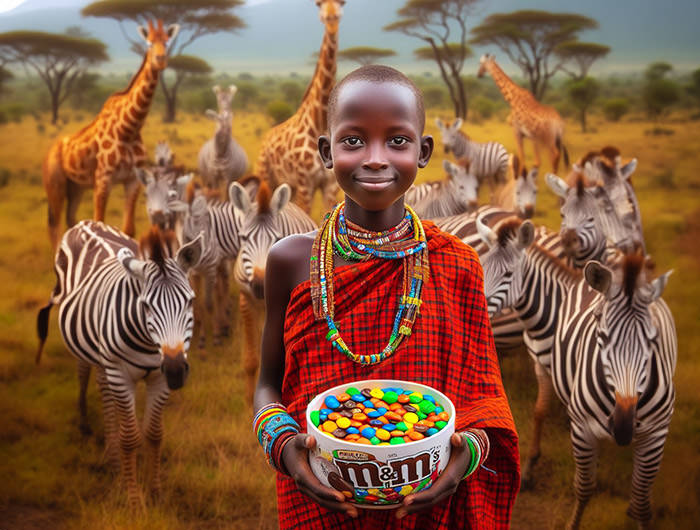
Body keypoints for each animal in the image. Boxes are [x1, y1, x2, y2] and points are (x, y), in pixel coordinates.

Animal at [36, 220, 204, 508]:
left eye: (190, 301)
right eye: (146, 306)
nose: (175, 371)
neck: (149, 344)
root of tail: (85, 223)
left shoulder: (159, 378)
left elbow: (154, 434)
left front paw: (156, 493)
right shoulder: (121, 375)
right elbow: (130, 438)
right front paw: (134, 500)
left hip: (104, 357)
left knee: (104, 389)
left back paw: (112, 452)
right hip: (92, 352)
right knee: (84, 373)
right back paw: (88, 426)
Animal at [42, 18, 179, 245]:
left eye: (167, 42)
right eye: (149, 43)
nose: (160, 60)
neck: (129, 128)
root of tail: (50, 151)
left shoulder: (132, 181)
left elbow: (128, 229)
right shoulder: (103, 180)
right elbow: (100, 224)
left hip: (76, 187)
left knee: (71, 220)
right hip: (55, 184)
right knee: (54, 226)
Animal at [230, 179, 318, 398]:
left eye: (277, 238)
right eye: (243, 238)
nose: (261, 286)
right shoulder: (246, 299)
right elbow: (251, 361)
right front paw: (249, 399)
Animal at [256, 0, 346, 214]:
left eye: (342, 3)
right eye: (319, 4)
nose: (331, 19)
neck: (320, 123)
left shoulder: (330, 185)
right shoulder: (306, 183)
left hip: (289, 185)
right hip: (266, 177)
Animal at [478, 213, 676, 524]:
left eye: (508, 274)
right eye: (482, 268)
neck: (551, 310)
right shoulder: (542, 364)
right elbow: (540, 411)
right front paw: (531, 465)